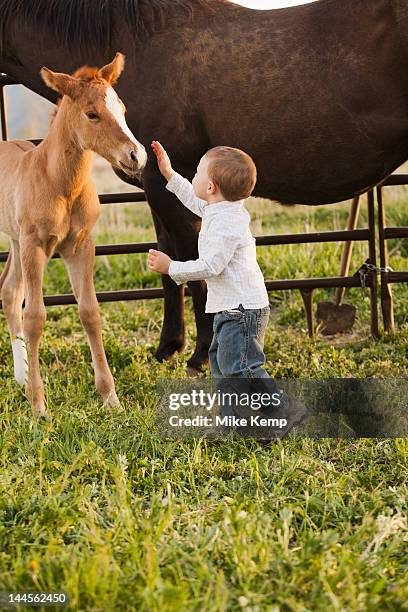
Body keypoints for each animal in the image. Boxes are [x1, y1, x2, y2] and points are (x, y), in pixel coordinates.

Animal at [0, 0, 408, 370]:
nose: (134, 153)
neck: (142, 44)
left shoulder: (171, 189)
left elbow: (191, 264)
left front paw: (200, 355)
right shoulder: (158, 188)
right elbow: (168, 265)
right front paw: (168, 347)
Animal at [0, 52, 147, 418]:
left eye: (122, 109)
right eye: (92, 114)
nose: (137, 156)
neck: (60, 184)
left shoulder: (80, 245)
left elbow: (90, 312)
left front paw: (110, 398)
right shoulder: (36, 246)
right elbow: (35, 316)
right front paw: (39, 406)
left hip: (15, 240)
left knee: (9, 290)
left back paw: (21, 376)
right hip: (22, 244)